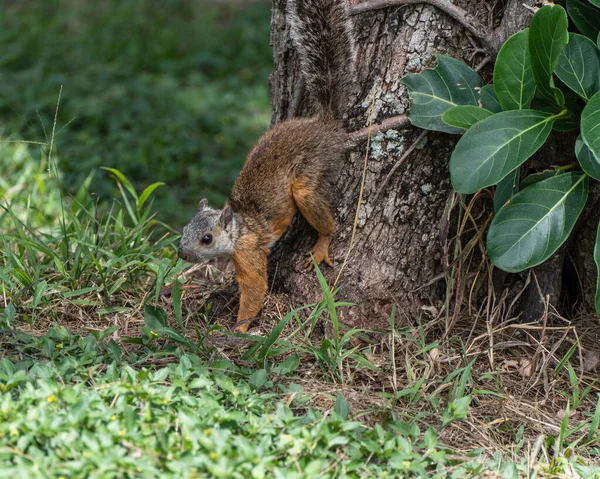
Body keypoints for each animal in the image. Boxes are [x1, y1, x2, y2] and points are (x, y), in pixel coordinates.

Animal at [178, 0, 356, 332]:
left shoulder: (248, 251)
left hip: (309, 171)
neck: (239, 227)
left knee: (315, 208)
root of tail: (325, 125)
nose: (182, 252)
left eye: (207, 238)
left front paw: (240, 328)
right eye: (184, 229)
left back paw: (322, 245)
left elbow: (255, 288)